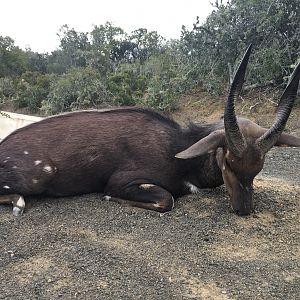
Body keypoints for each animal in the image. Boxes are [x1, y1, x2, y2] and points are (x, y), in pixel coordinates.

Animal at [0, 45, 300, 216]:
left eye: (258, 169)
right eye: (227, 161)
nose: (243, 210)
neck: (177, 148)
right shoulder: (123, 181)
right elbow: (166, 200)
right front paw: (109, 197)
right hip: (37, 178)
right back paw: (18, 204)